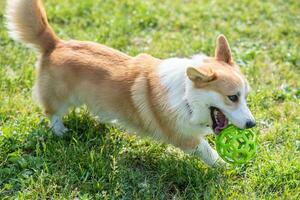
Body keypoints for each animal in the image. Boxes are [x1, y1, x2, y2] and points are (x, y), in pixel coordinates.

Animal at [6, 0, 255, 166]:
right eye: (232, 97)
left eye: (245, 96)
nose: (252, 124)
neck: (187, 97)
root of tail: (55, 44)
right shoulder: (184, 137)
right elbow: (207, 151)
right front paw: (225, 167)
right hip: (59, 98)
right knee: (53, 113)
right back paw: (60, 132)